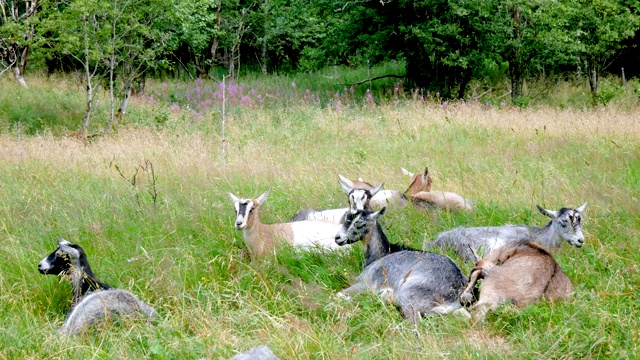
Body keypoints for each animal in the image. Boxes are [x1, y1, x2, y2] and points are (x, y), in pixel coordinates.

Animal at [336, 208, 470, 320]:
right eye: (346, 218)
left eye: (360, 223)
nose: (337, 238)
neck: (381, 254)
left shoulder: (365, 283)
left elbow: (338, 294)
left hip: (408, 296)